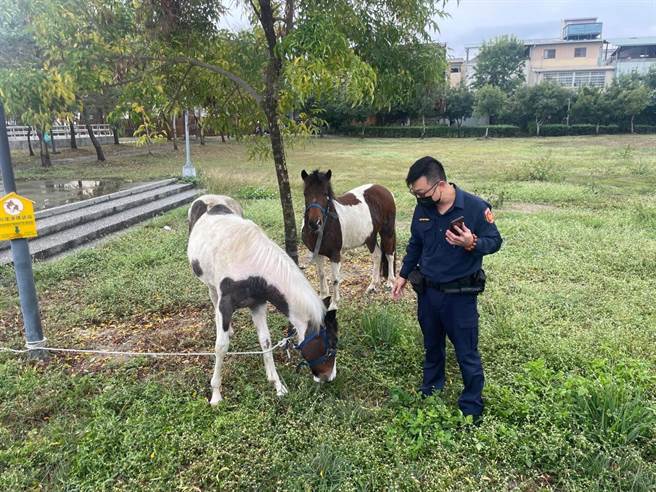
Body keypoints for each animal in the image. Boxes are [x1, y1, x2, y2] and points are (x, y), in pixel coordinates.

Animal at [187, 194, 339, 406]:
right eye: (331, 346)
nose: (329, 377)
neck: (252, 266)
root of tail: (207, 199)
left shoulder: (257, 304)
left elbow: (265, 342)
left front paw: (278, 386)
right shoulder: (226, 304)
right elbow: (221, 347)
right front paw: (216, 395)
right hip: (209, 284)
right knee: (213, 299)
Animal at [301, 169, 396, 306]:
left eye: (325, 194)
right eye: (305, 193)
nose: (315, 223)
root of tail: (385, 190)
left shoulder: (335, 254)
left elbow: (335, 279)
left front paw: (334, 304)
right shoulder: (317, 253)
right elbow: (321, 274)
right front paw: (323, 296)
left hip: (387, 233)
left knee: (389, 255)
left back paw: (390, 282)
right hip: (370, 237)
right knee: (377, 255)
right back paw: (372, 285)